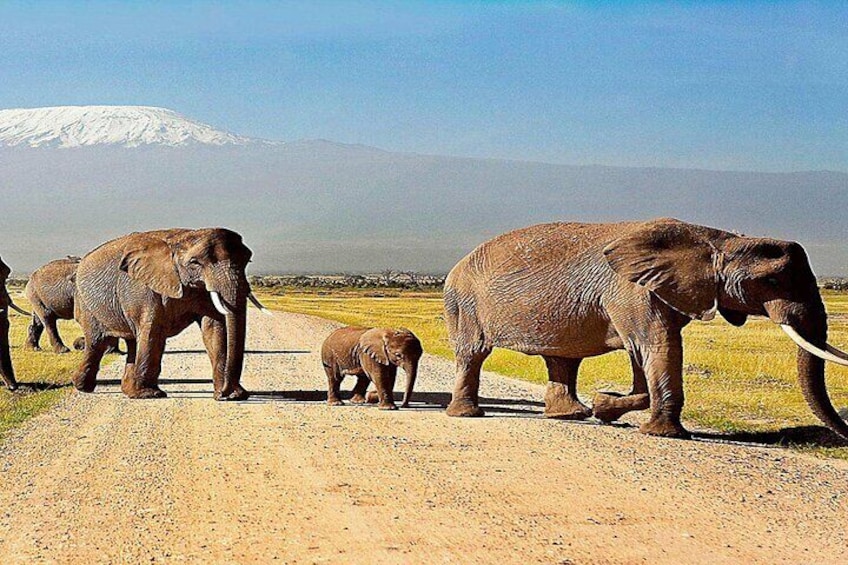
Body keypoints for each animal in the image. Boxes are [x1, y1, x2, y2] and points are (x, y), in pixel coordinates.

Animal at [74, 227, 272, 398]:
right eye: (195, 262)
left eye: (247, 260)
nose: (224, 392)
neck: (181, 238)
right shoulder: (143, 287)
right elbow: (153, 330)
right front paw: (149, 395)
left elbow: (214, 328)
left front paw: (233, 396)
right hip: (87, 303)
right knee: (97, 343)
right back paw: (83, 387)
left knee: (131, 342)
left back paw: (125, 390)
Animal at [444, 218, 848, 438]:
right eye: (774, 281)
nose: (845, 432)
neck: (719, 239)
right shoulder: (632, 291)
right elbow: (656, 347)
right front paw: (661, 433)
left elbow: (647, 355)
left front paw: (604, 407)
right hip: (464, 304)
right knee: (473, 354)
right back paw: (467, 415)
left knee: (563, 360)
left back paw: (572, 415)